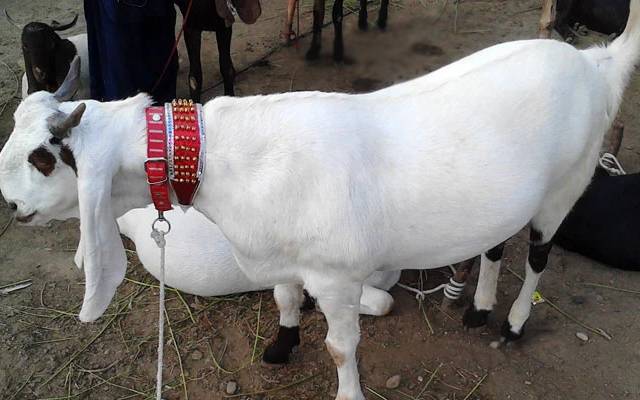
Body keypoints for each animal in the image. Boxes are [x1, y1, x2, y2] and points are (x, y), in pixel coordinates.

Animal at [1, 0, 640, 396]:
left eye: (42, 158)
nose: (9, 205)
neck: (228, 160)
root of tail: (595, 62)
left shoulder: (336, 276)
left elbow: (339, 347)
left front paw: (346, 389)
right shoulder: (285, 258)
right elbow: (285, 300)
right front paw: (280, 347)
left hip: (566, 186)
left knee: (537, 257)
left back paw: (512, 324)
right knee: (496, 246)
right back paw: (478, 308)